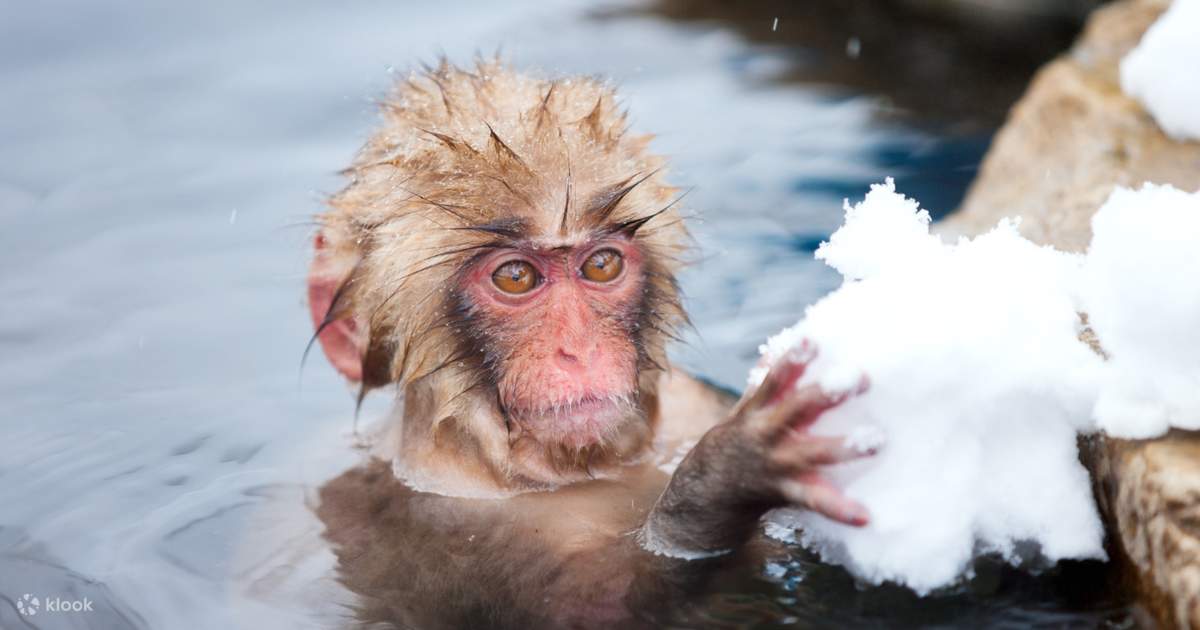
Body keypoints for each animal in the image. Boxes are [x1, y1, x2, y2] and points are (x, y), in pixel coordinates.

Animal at [308, 59, 873, 629]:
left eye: (601, 265)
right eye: (515, 277)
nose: (580, 350)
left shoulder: (686, 402)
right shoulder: (451, 518)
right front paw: (725, 477)